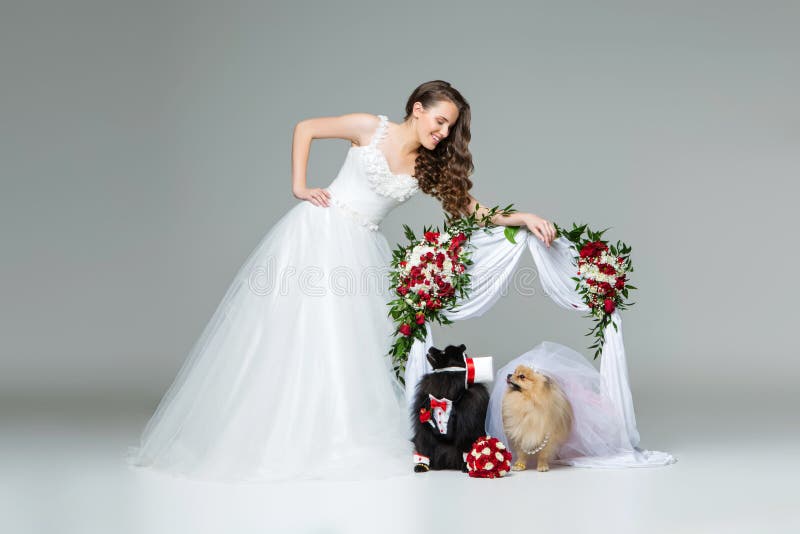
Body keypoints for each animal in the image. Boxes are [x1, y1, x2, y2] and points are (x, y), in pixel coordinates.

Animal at [412, 344, 488, 474]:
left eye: (443, 352)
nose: (431, 347)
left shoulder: (467, 429)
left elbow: (467, 449)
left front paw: (467, 466)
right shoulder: (424, 428)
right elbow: (424, 447)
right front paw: (421, 465)